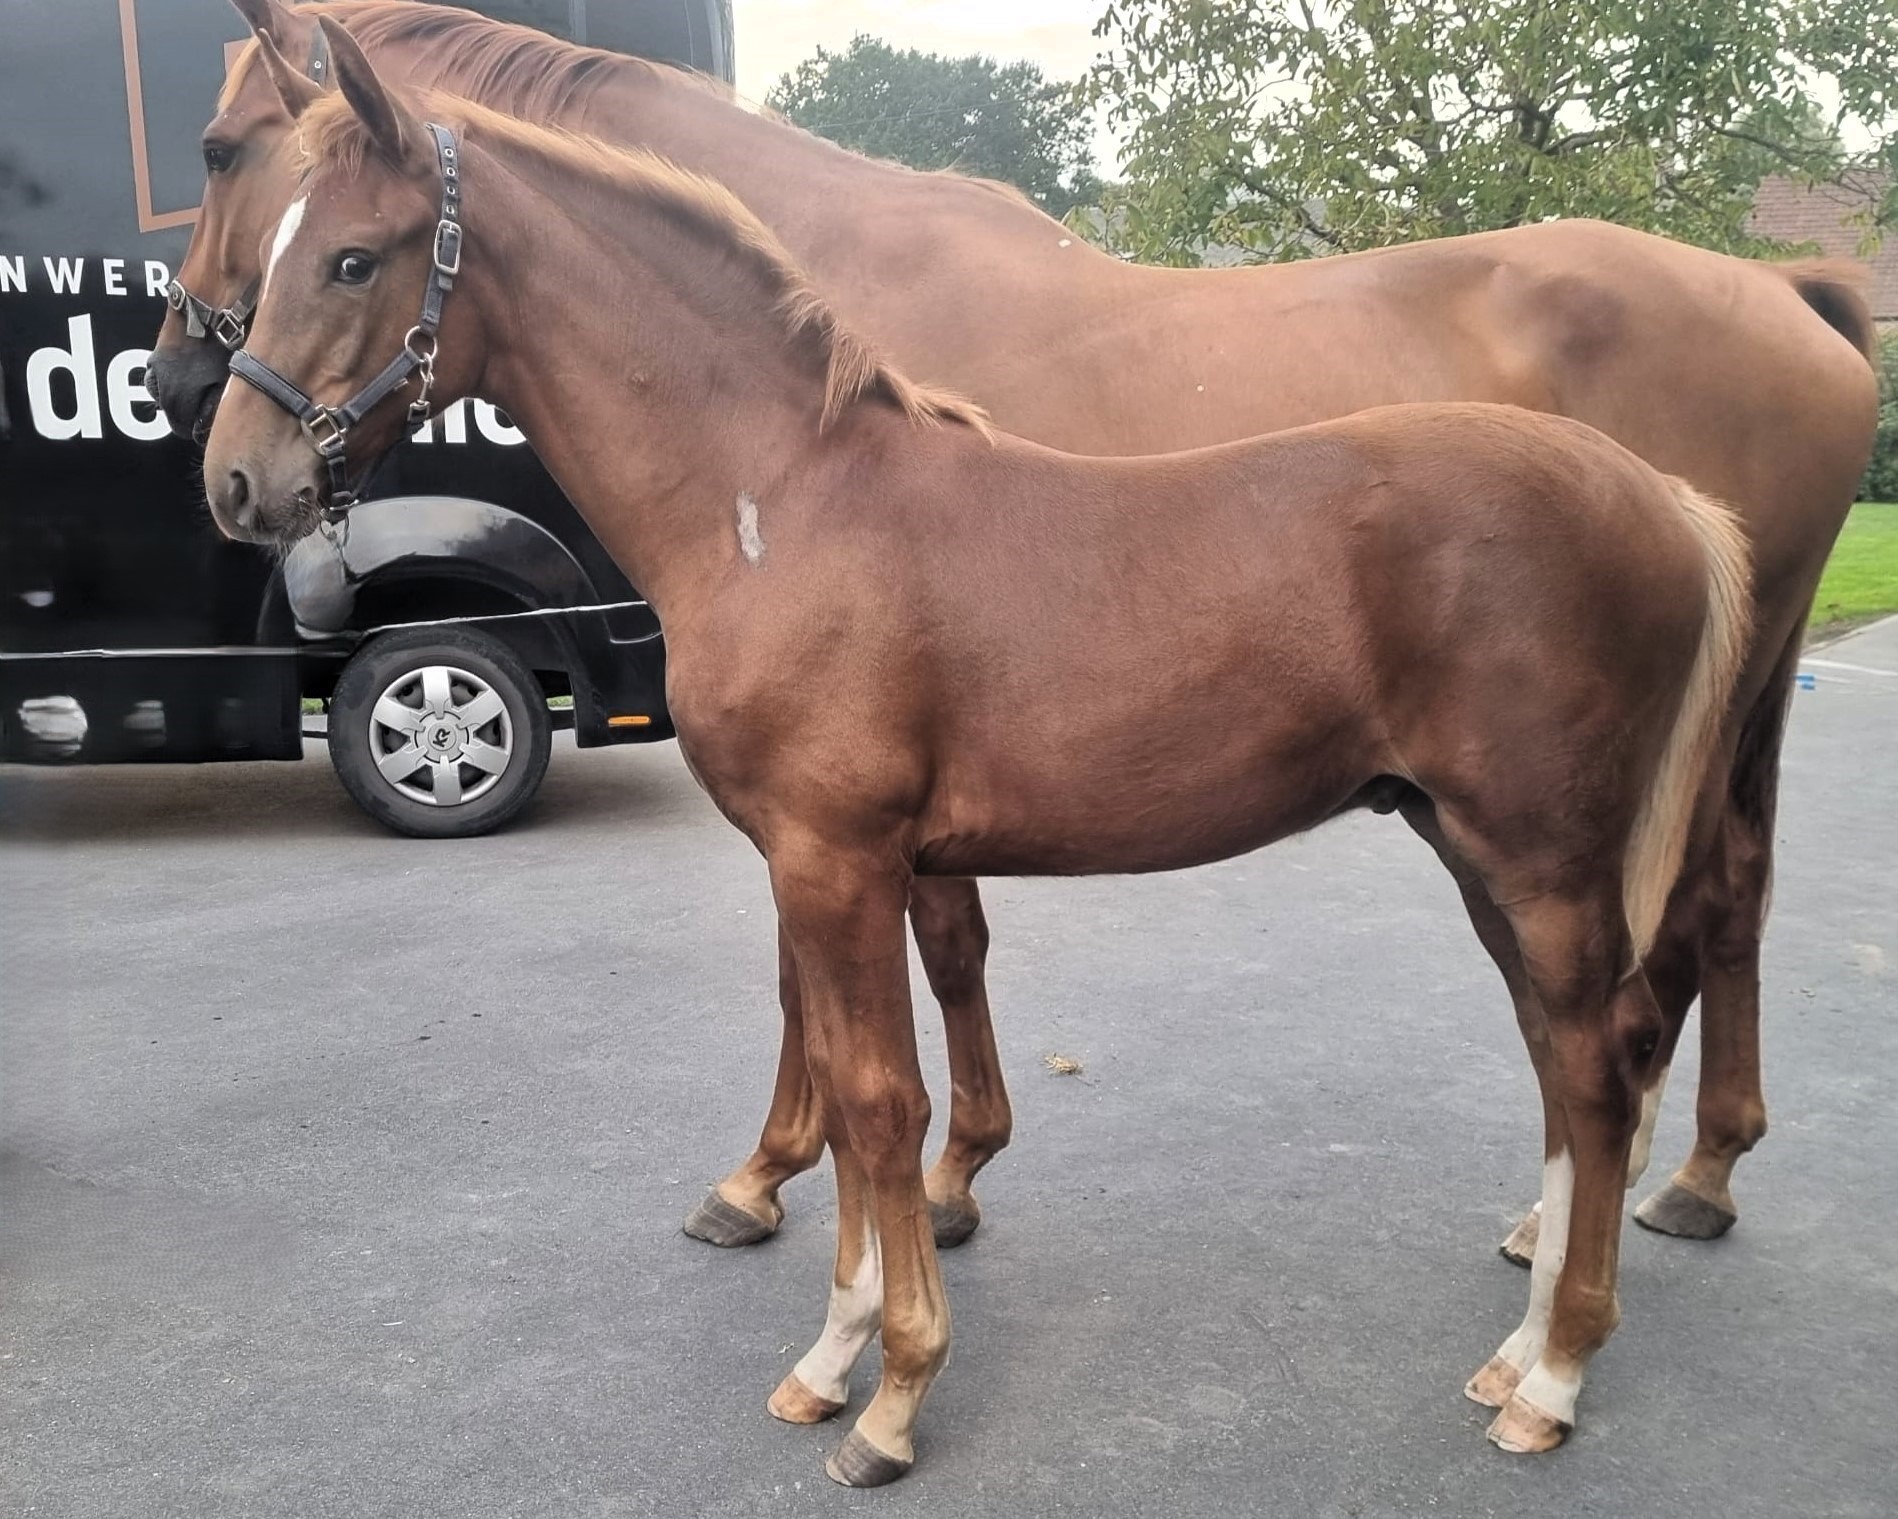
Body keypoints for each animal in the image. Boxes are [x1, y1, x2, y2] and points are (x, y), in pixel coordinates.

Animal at [199, 23, 1754, 1483]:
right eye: (266, 229)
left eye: (350, 257)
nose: (235, 481)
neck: (782, 501)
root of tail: (1665, 498)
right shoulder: (823, 864)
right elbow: (846, 1092)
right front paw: (828, 1354)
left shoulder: (836, 858)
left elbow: (881, 1105)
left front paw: (888, 1395)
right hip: (1477, 846)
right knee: (1560, 1063)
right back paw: (1517, 1351)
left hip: (1540, 856)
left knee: (1595, 1066)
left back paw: (1554, 1375)